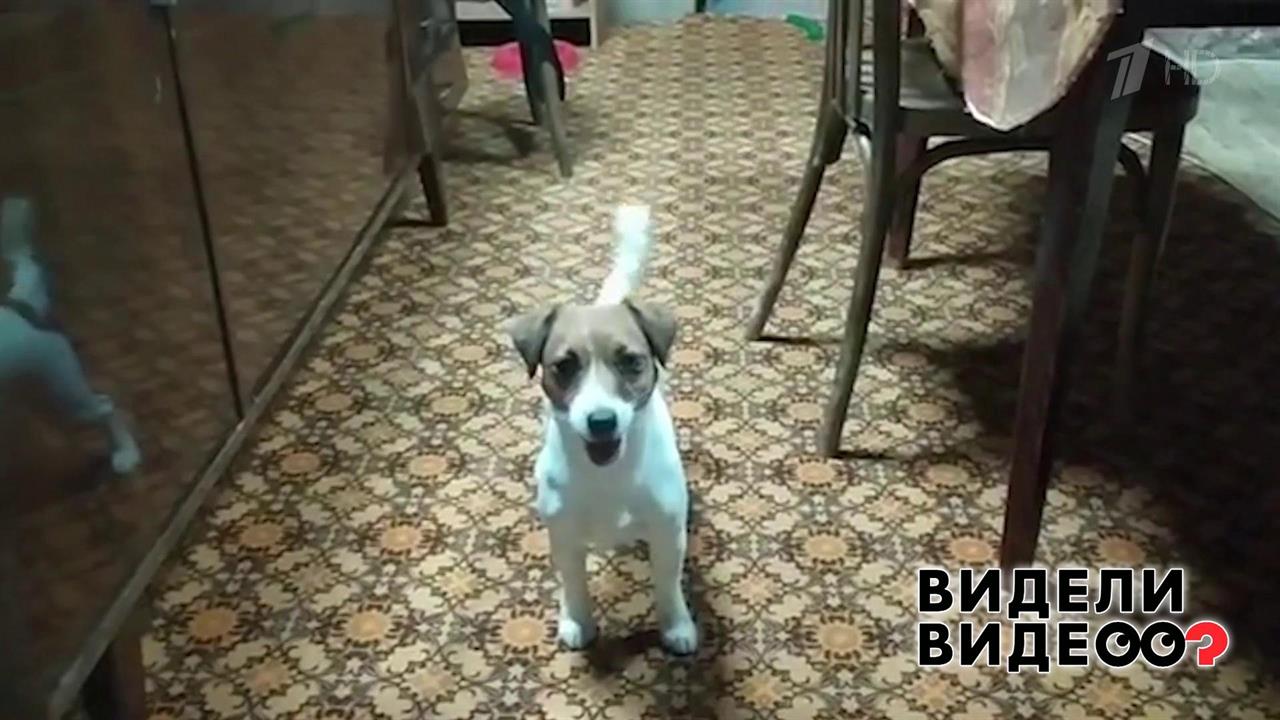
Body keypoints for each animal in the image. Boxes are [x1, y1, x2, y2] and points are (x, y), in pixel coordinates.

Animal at [507, 205, 697, 654]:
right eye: (564, 365)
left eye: (630, 361)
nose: (601, 421)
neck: (608, 474)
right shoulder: (564, 536)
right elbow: (573, 581)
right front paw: (576, 619)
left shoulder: (667, 534)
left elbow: (668, 585)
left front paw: (677, 625)